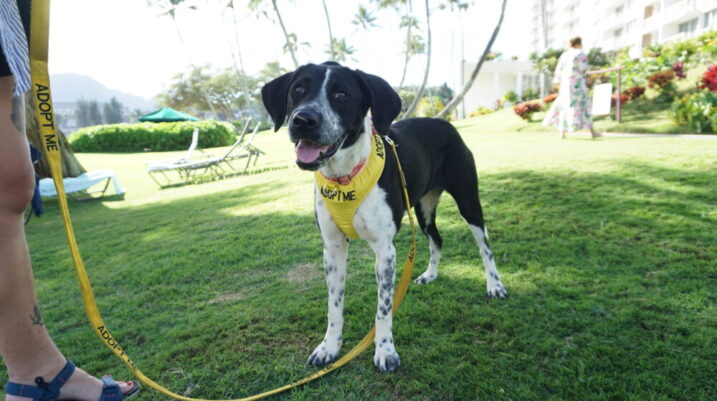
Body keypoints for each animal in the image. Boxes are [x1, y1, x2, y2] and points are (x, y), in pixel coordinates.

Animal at [261, 61, 507, 373]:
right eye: (298, 89)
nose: (303, 120)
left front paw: (385, 351)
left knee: (484, 246)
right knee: (437, 239)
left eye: (342, 94)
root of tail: (445, 123)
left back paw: (495, 285)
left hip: (468, 201)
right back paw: (430, 274)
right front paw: (329, 348)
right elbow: (334, 306)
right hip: (423, 209)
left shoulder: (385, 251)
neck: (344, 178)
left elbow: (384, 309)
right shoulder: (333, 248)